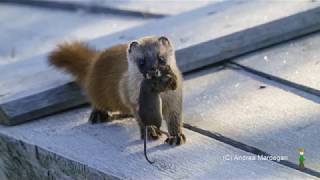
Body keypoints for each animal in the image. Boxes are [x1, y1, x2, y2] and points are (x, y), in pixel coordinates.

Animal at [48, 35, 186, 145]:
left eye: (161, 58)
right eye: (141, 61)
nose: (152, 70)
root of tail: (95, 59)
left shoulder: (175, 97)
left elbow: (175, 119)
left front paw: (176, 137)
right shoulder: (132, 99)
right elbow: (142, 120)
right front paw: (150, 133)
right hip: (99, 93)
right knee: (94, 99)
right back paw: (98, 115)